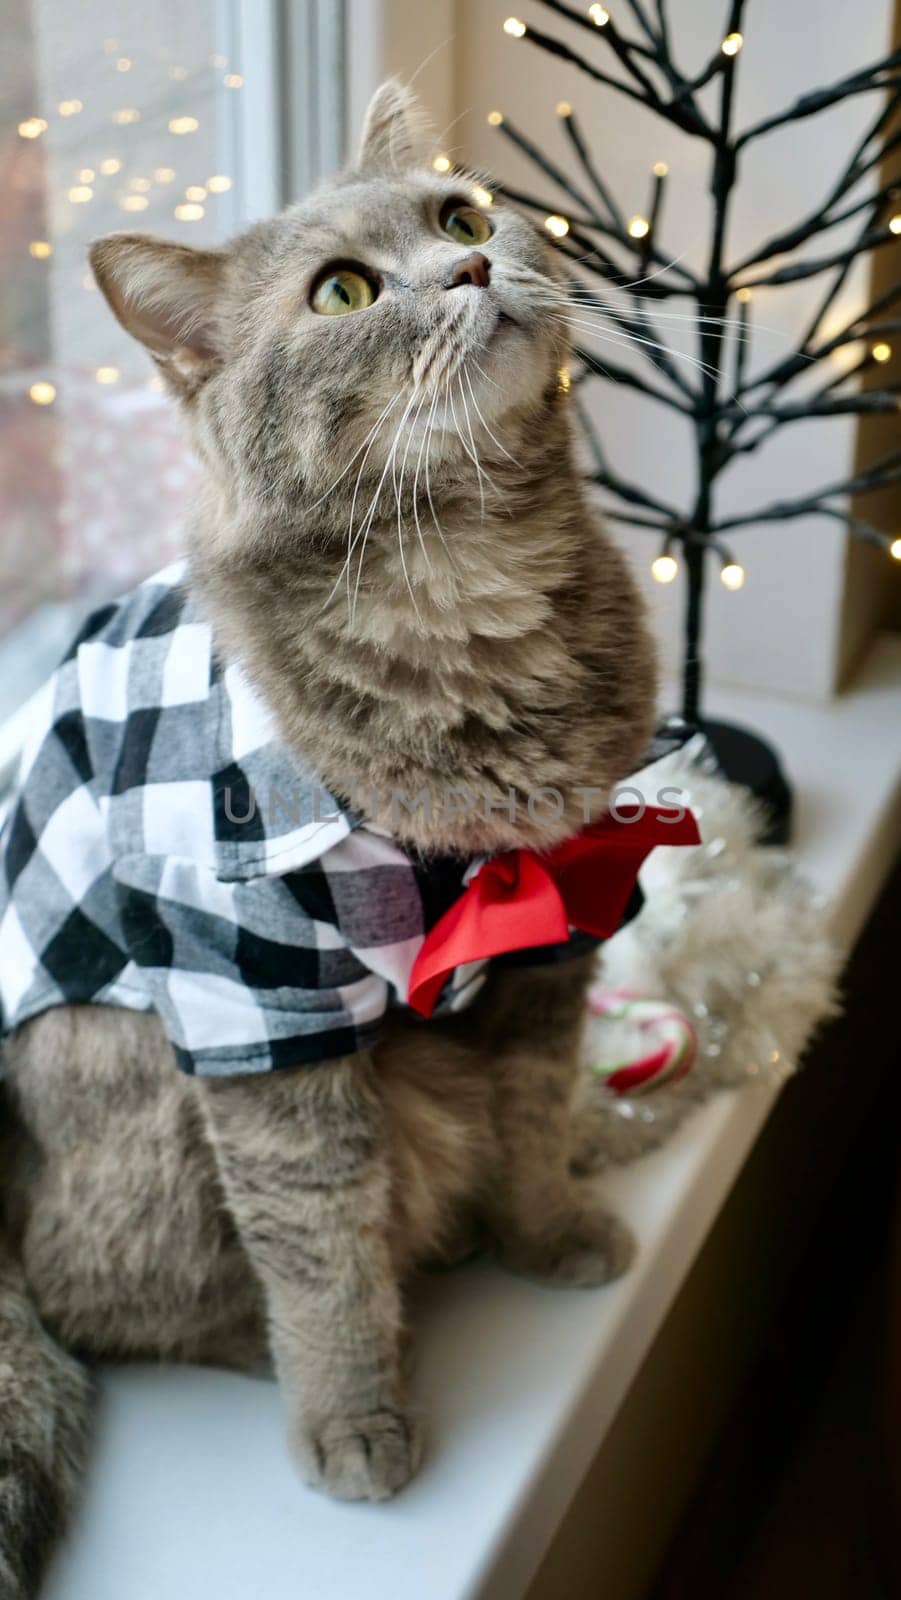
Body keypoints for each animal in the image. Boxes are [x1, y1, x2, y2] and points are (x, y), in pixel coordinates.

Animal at [0, 81, 656, 1593]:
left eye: (465, 214)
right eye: (345, 291)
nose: (470, 269)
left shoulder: (554, 933)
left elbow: (535, 1115)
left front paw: (548, 1231)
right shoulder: (252, 1011)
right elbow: (318, 1252)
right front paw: (353, 1416)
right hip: (132, 1089)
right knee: (94, 1288)